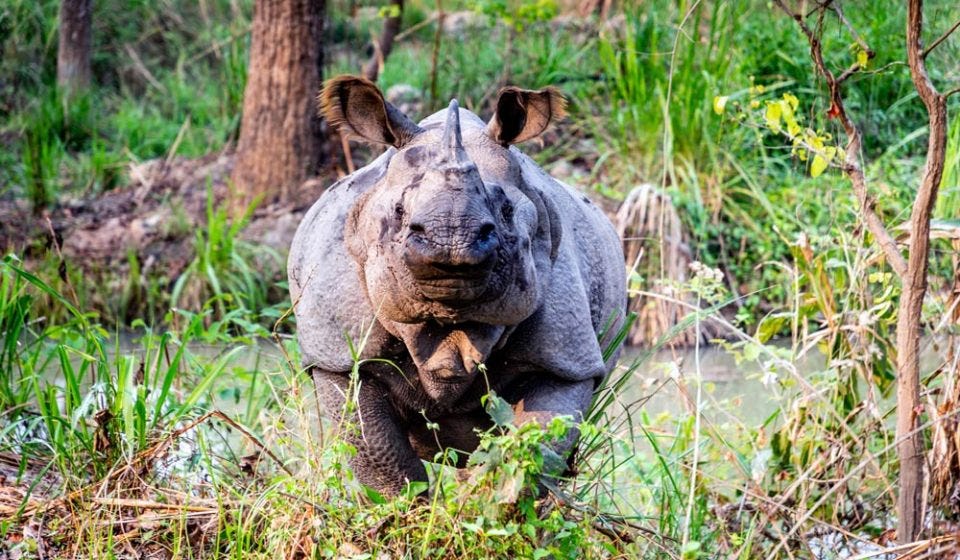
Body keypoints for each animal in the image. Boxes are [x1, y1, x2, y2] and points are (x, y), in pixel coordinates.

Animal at [288, 76, 628, 496]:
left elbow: (533, 445)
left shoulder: (565, 359)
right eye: (399, 212)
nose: (451, 240)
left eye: (506, 211)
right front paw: (409, 509)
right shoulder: (340, 353)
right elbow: (381, 458)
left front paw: (488, 502)